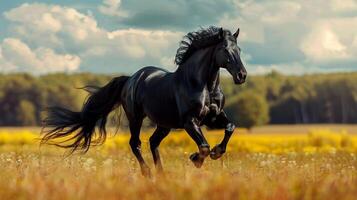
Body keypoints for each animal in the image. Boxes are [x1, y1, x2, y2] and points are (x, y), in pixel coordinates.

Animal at [41, 26, 245, 177]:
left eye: (239, 50)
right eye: (225, 49)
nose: (242, 75)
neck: (203, 85)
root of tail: (131, 78)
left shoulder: (214, 118)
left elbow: (230, 127)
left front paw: (216, 152)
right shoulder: (190, 121)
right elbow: (203, 146)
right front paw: (196, 159)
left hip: (164, 124)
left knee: (153, 142)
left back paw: (161, 174)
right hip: (136, 118)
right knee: (136, 143)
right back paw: (148, 173)